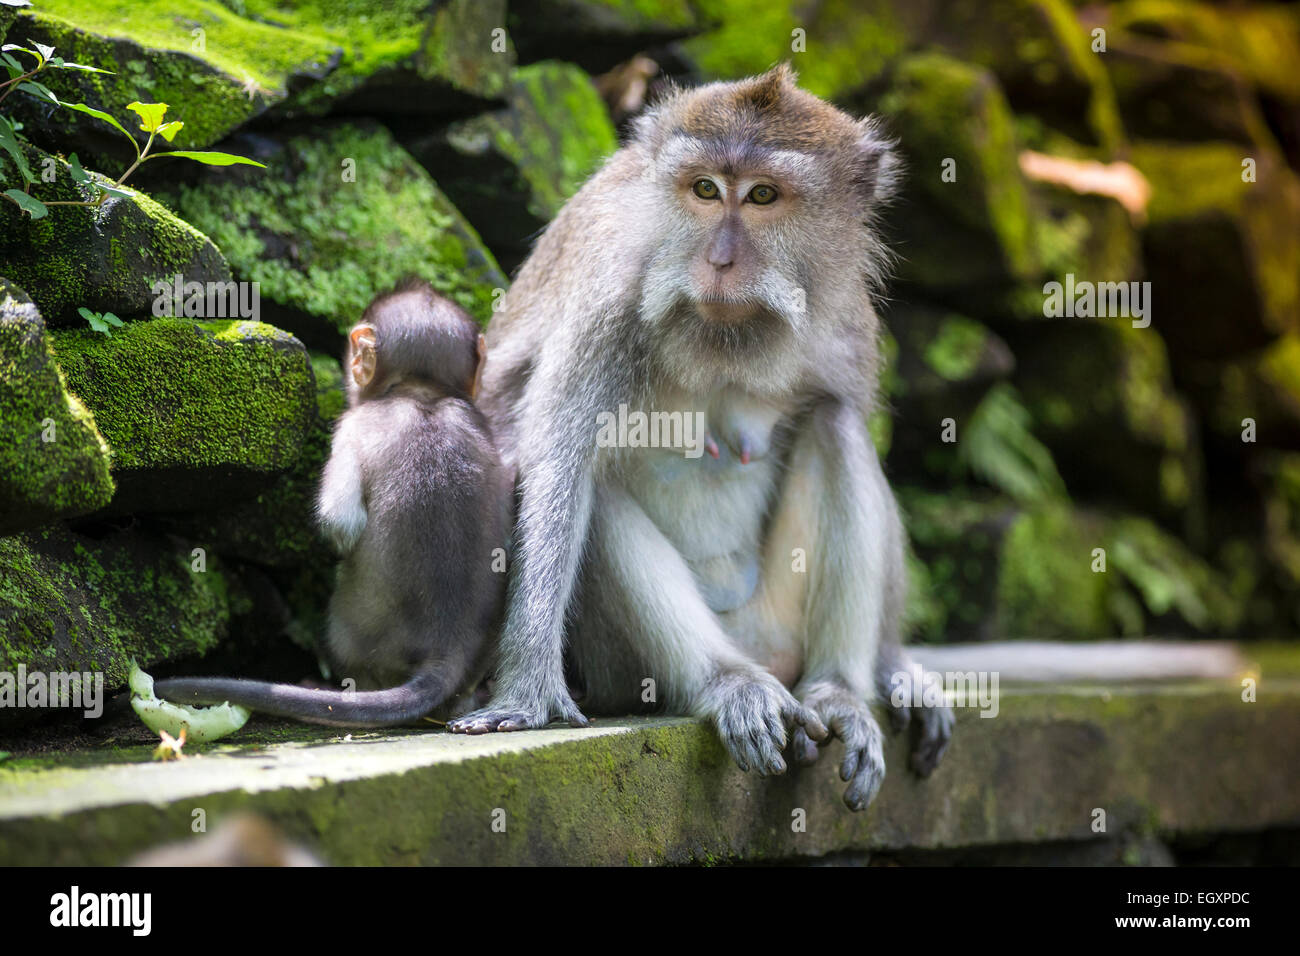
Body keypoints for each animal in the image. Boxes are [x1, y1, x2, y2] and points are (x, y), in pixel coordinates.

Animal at [448, 65, 954, 810]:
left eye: (764, 195)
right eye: (706, 190)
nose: (718, 259)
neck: (725, 335)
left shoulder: (848, 321)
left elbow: (849, 421)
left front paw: (894, 668)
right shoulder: (610, 301)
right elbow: (558, 465)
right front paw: (528, 691)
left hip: (776, 625)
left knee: (834, 424)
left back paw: (837, 693)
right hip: (635, 664)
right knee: (598, 492)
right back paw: (729, 684)